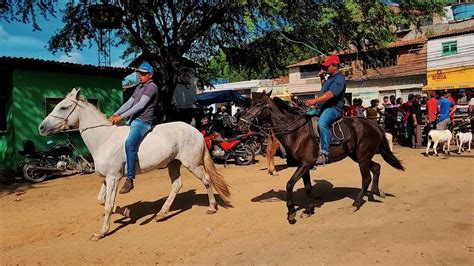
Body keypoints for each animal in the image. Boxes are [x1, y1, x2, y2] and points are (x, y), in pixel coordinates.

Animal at [37, 89, 230, 241]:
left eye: (63, 107)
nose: (41, 128)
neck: (104, 139)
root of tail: (196, 130)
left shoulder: (114, 178)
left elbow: (107, 205)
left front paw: (102, 232)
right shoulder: (106, 179)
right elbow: (101, 200)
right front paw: (125, 212)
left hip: (193, 165)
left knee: (206, 180)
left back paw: (211, 207)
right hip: (173, 164)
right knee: (177, 185)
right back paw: (162, 213)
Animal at [239, 92, 406, 224]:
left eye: (259, 104)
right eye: (251, 103)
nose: (240, 123)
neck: (295, 131)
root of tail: (374, 125)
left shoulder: (305, 164)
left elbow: (289, 184)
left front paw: (291, 213)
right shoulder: (304, 166)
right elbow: (308, 188)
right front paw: (309, 210)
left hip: (363, 156)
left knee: (366, 178)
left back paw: (356, 204)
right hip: (357, 156)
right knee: (376, 167)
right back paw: (377, 192)